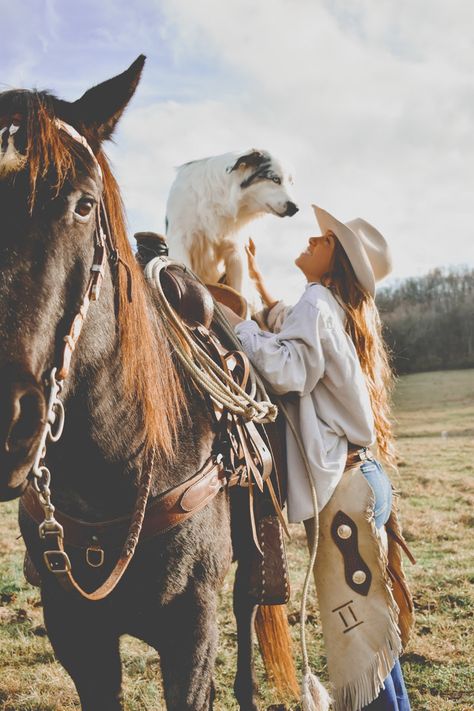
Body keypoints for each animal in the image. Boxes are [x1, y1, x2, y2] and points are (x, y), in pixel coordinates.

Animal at [166, 149, 296, 294]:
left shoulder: (235, 251)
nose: (295, 208)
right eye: (275, 179)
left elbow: (239, 292)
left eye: (291, 183)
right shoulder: (180, 242)